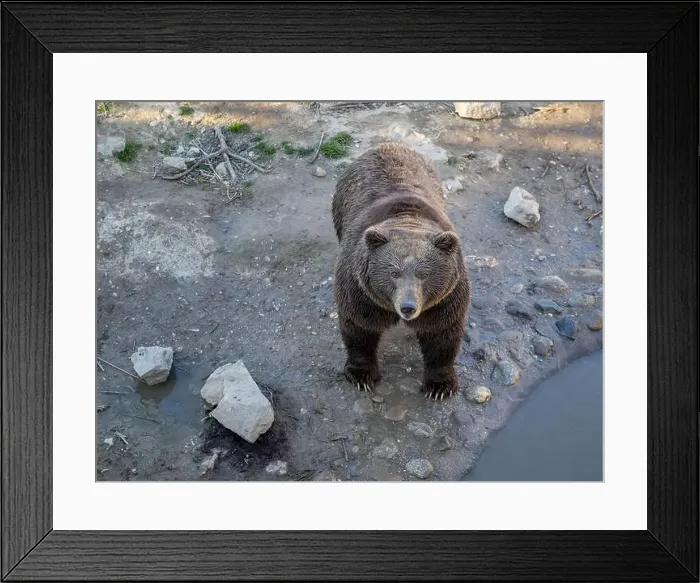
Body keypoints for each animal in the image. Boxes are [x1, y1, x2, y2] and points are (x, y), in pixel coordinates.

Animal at [331, 142, 470, 401]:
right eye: (393, 273)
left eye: (424, 273)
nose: (407, 307)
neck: (407, 220)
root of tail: (387, 144)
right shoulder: (361, 290)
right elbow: (359, 327)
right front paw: (361, 376)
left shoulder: (445, 298)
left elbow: (442, 334)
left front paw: (440, 386)